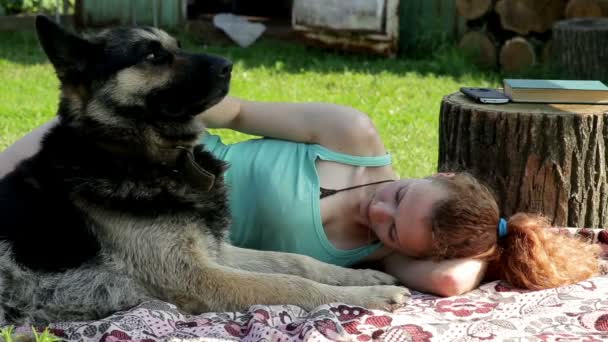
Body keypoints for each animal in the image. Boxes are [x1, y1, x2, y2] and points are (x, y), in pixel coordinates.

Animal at [0, 16, 408, 326]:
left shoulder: (215, 251)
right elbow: (289, 283)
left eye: (177, 45)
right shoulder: (194, 276)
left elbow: (295, 261)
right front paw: (369, 295)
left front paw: (360, 276)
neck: (133, 153)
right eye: (153, 55)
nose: (229, 65)